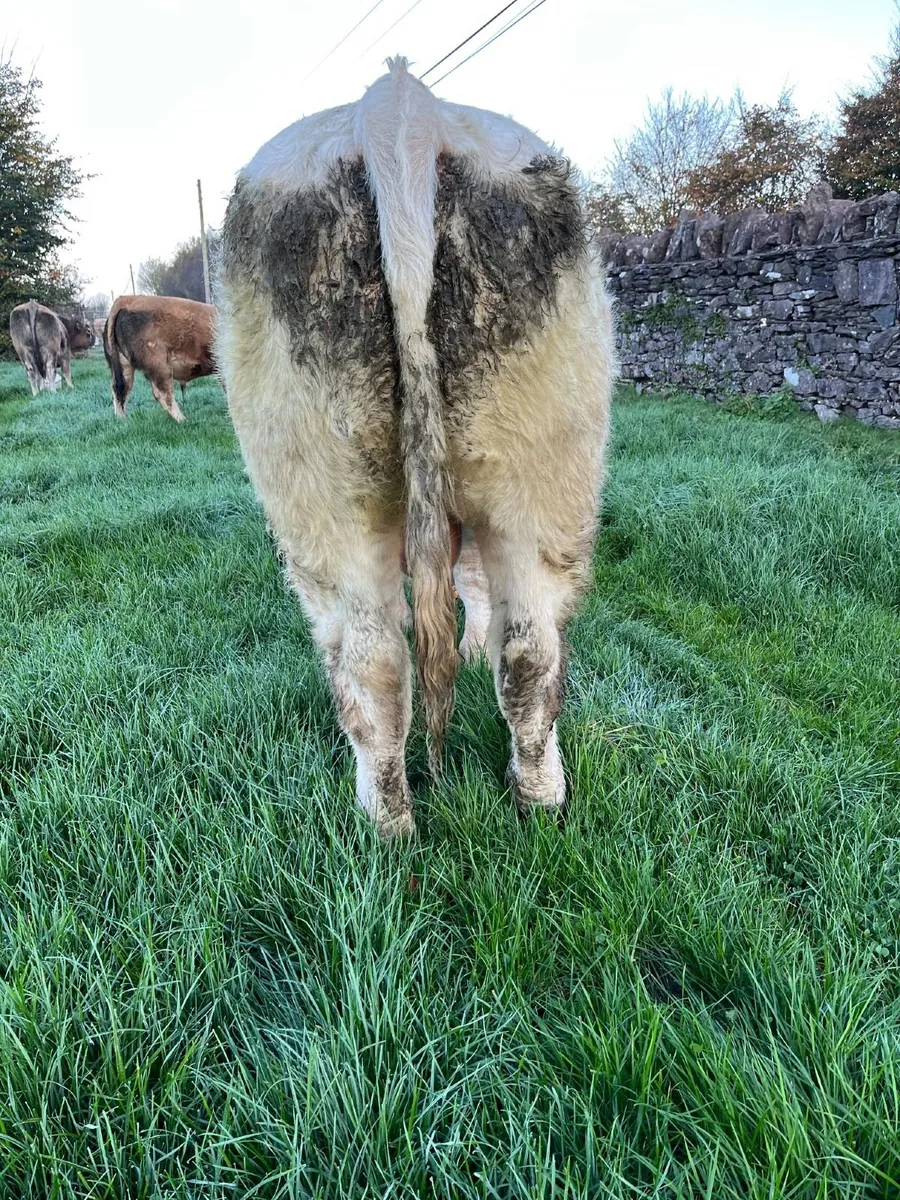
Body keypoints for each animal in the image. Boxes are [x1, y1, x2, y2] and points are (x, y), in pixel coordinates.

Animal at [216, 58, 614, 837]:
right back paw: (533, 799)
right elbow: (476, 589)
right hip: (541, 484)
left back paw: (395, 826)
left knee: (380, 663)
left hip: (335, 501)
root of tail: (398, 104)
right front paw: (471, 643)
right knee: (525, 650)